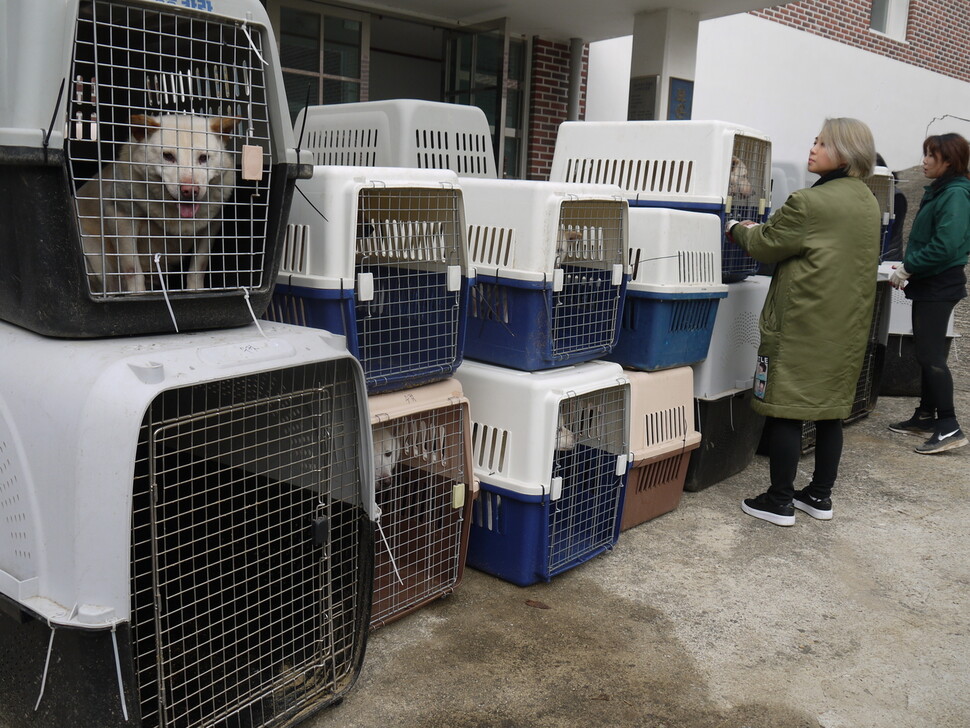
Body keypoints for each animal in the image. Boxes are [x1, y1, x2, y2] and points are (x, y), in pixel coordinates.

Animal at [75, 112, 238, 292]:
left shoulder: (211, 226)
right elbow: (132, 269)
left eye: (204, 158)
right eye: (168, 156)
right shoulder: (121, 218)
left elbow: (198, 266)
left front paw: (195, 290)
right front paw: (137, 294)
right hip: (94, 255)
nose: (190, 191)